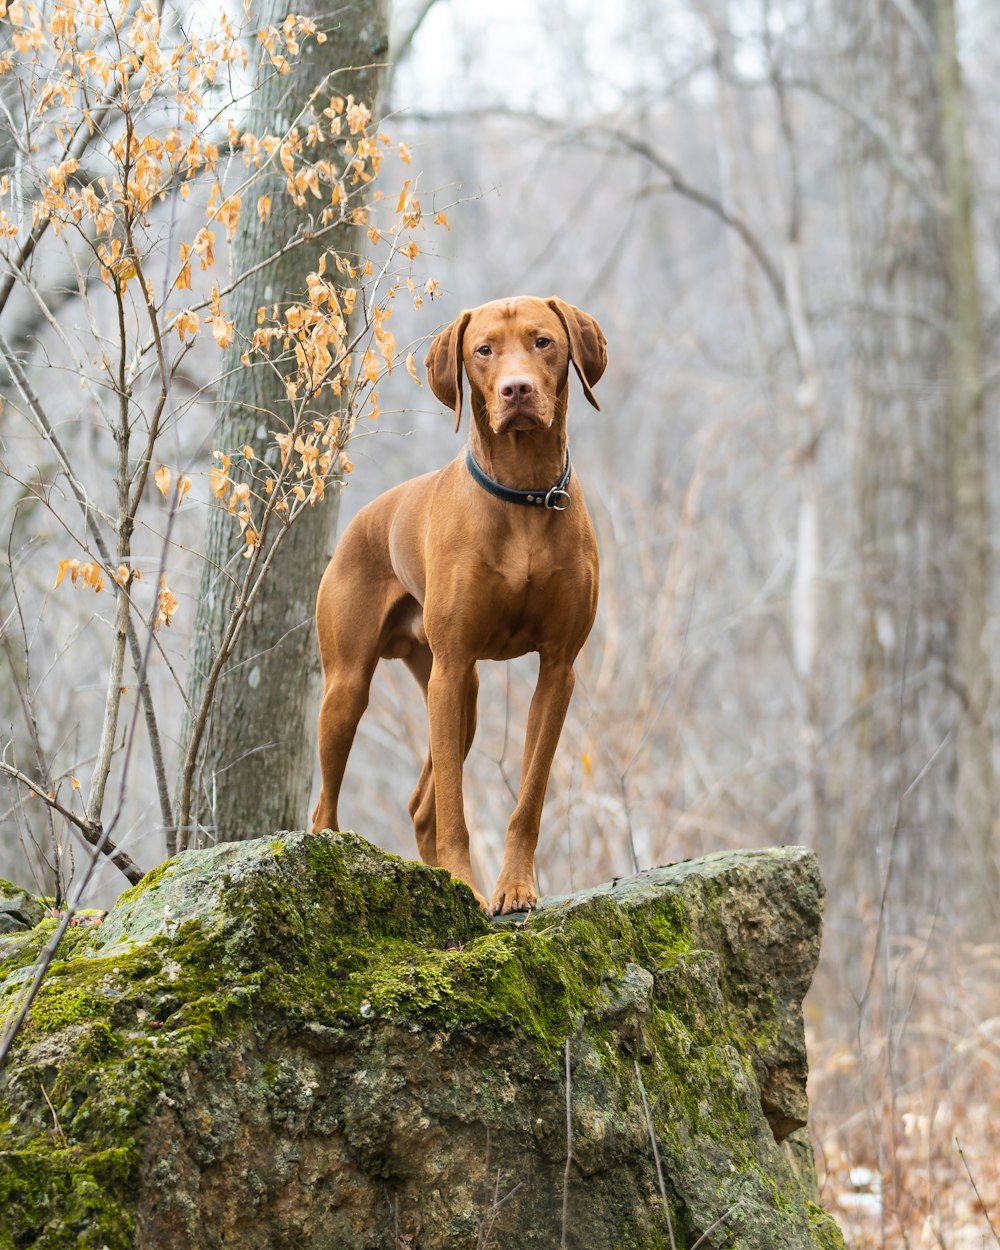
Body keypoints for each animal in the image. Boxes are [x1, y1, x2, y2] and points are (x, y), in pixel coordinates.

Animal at [312, 297, 605, 915]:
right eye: (484, 350)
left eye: (543, 342)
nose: (517, 390)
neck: (523, 495)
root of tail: (363, 517)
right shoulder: (450, 668)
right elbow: (454, 805)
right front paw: (465, 887)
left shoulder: (558, 668)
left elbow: (529, 796)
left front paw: (514, 887)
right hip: (353, 688)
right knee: (328, 803)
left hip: (462, 692)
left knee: (420, 806)